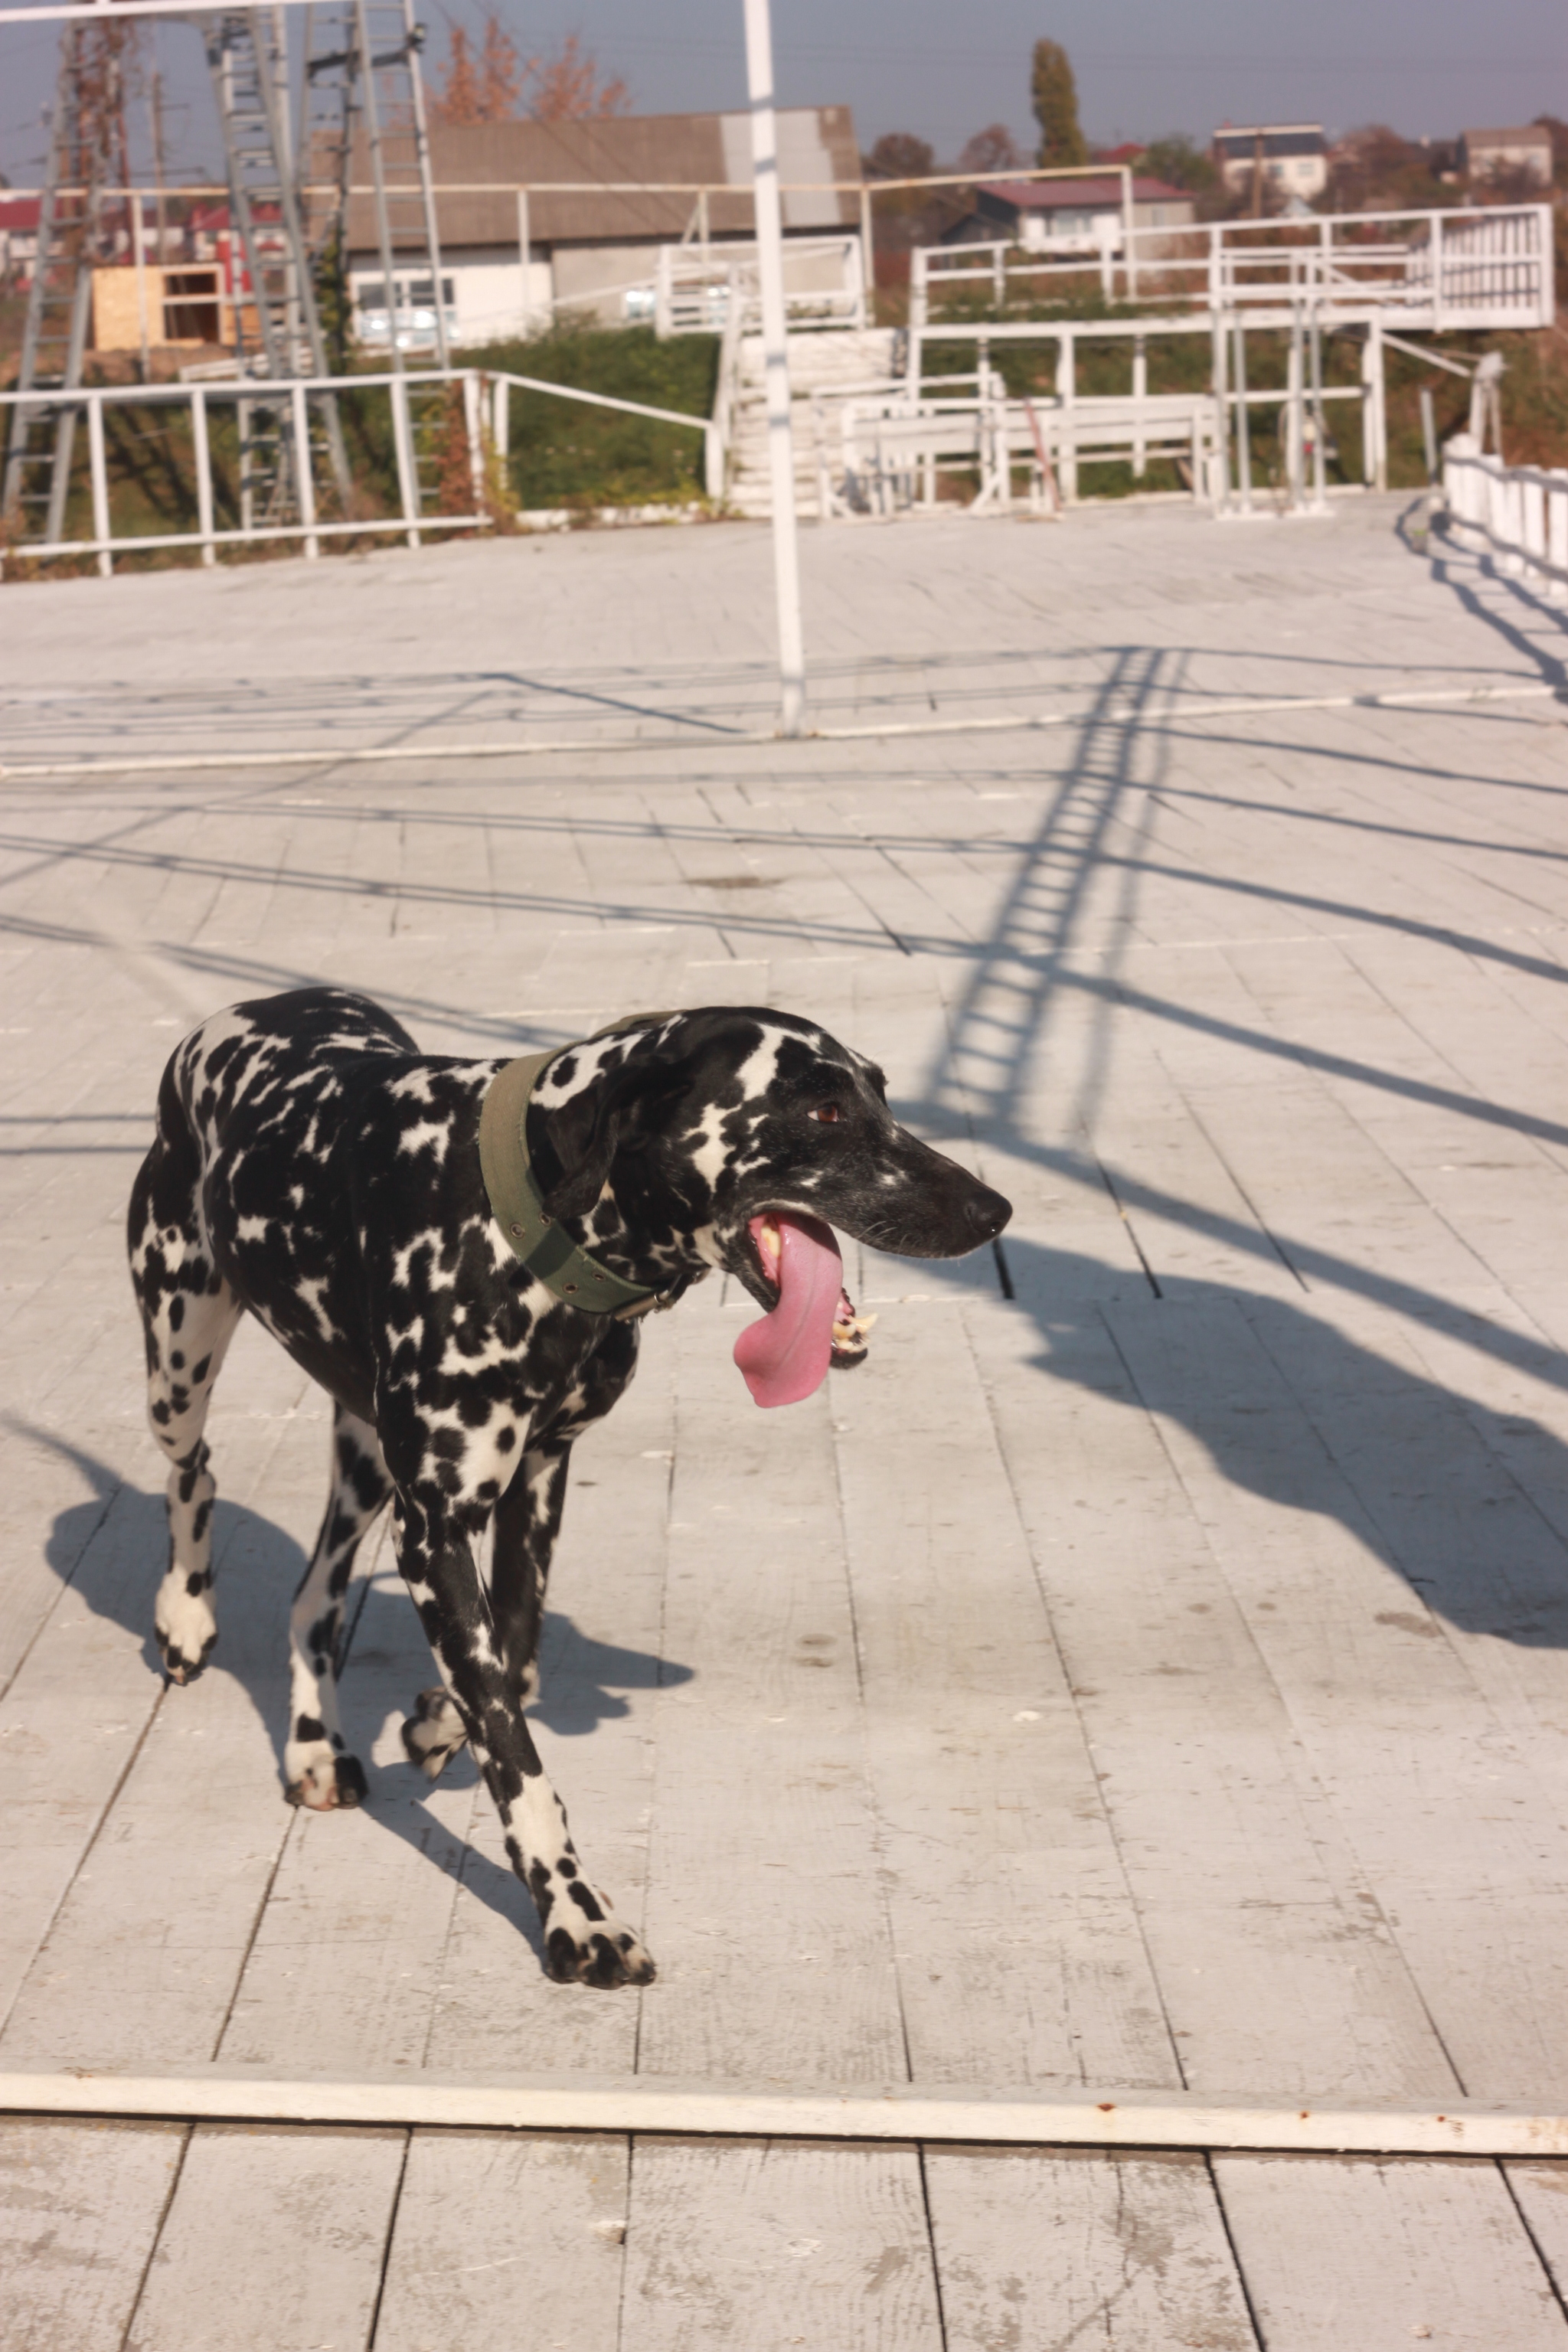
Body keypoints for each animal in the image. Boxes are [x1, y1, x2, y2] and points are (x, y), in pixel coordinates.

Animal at [128, 988, 1011, 1988]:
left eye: (881, 1091)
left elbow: (511, 1663)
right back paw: (185, 1615)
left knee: (312, 1592)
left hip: (364, 1460)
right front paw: (577, 1916)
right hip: (180, 1358)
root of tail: (241, 1013)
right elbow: (517, 1756)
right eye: (821, 1109)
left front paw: (438, 1721)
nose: (993, 1210)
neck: (519, 1223)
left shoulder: (532, 1485)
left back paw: (316, 1743)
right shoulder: (435, 1531)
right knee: (193, 1471)